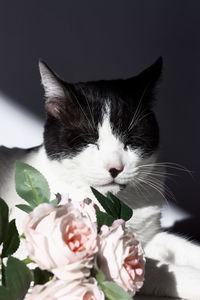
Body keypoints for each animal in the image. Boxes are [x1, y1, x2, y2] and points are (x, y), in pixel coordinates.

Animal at [0, 57, 200, 298]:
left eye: (131, 140)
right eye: (89, 140)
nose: (115, 167)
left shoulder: (148, 237)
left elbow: (180, 247)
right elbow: (151, 267)